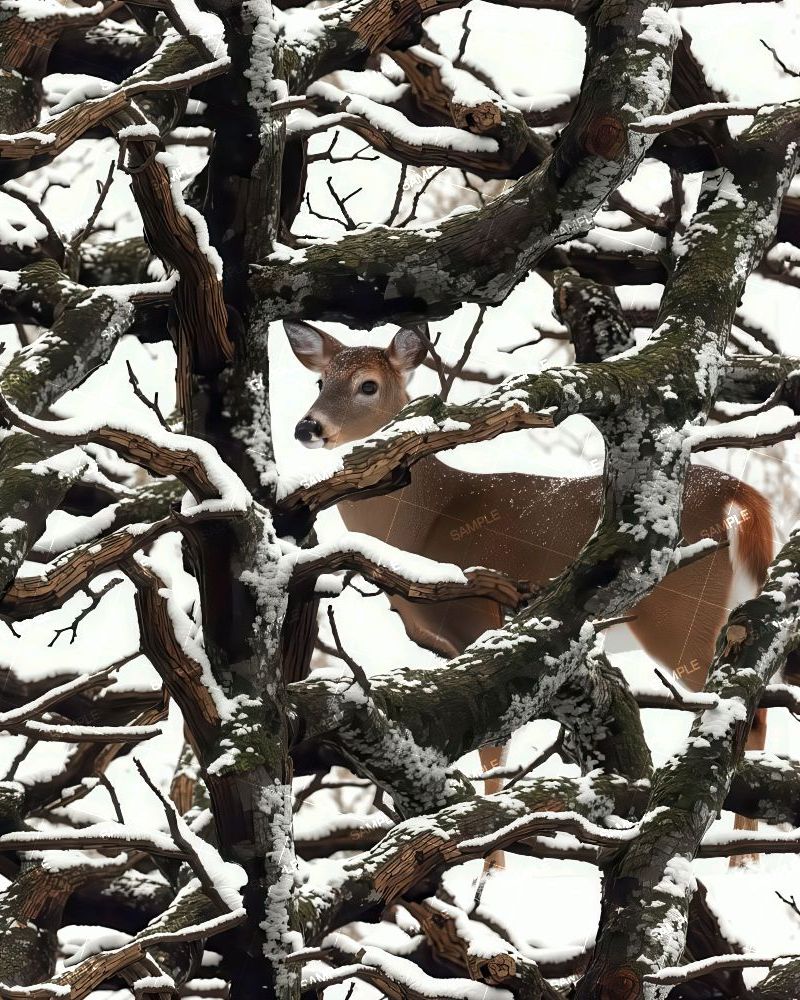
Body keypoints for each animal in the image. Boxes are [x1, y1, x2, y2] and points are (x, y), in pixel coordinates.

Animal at [285, 320, 775, 864]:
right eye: (320, 381)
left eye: (367, 385)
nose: (307, 427)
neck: (427, 524)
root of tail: (741, 496)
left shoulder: (479, 620)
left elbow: (493, 752)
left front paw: (488, 859)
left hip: (680, 615)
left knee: (742, 712)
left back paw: (742, 856)